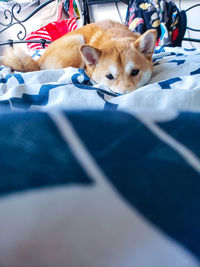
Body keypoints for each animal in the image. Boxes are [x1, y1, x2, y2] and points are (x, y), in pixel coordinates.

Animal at [1, 19, 158, 94]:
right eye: (109, 76)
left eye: (135, 72)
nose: (124, 94)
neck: (117, 37)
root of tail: (38, 60)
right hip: (77, 41)